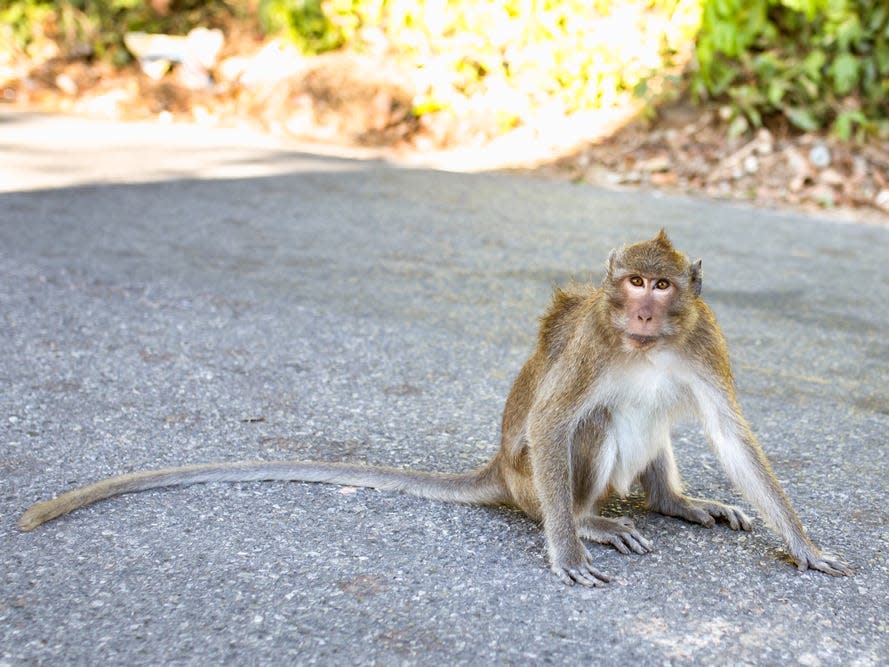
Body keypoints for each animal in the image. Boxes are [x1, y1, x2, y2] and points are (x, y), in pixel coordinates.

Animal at [20, 232, 848, 588]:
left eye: (663, 285)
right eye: (634, 283)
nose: (644, 308)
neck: (640, 344)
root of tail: (498, 474)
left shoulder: (702, 339)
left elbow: (729, 431)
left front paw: (801, 543)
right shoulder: (590, 345)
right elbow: (554, 420)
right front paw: (568, 550)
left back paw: (672, 503)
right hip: (529, 481)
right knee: (590, 425)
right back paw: (586, 521)